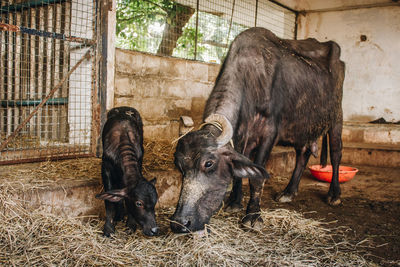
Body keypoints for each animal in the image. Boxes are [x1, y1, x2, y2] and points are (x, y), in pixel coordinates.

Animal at [96, 106, 159, 237]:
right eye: (139, 203)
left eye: (155, 202)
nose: (154, 230)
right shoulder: (106, 169)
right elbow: (109, 201)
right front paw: (109, 229)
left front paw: (130, 224)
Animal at [170, 26, 346, 233]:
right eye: (179, 165)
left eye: (208, 163)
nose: (179, 223)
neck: (250, 79)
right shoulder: (241, 137)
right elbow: (241, 174)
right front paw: (234, 202)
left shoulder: (268, 134)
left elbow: (257, 178)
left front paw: (253, 215)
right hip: (301, 127)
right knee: (302, 154)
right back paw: (288, 192)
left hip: (336, 117)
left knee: (336, 153)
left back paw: (334, 195)